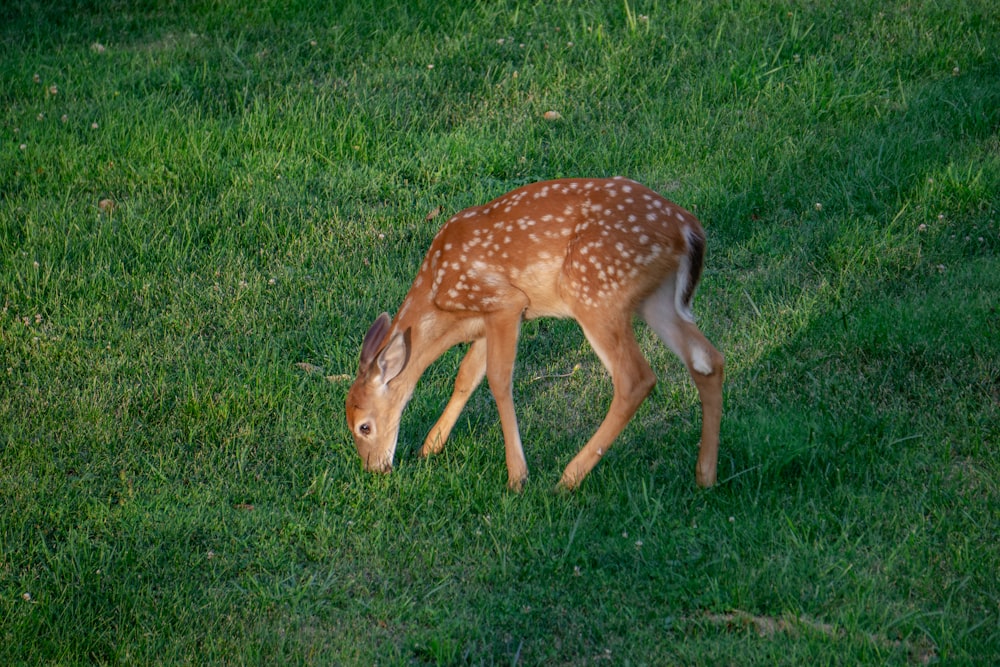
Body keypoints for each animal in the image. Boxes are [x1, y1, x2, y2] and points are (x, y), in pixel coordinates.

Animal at [348, 177, 724, 490]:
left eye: (363, 426)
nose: (375, 468)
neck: (438, 296)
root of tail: (688, 227)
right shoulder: (488, 319)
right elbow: (466, 375)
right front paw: (431, 446)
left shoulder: (505, 302)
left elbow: (499, 380)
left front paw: (517, 476)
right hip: (657, 299)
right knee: (708, 360)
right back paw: (705, 476)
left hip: (595, 291)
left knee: (635, 378)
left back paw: (568, 478)